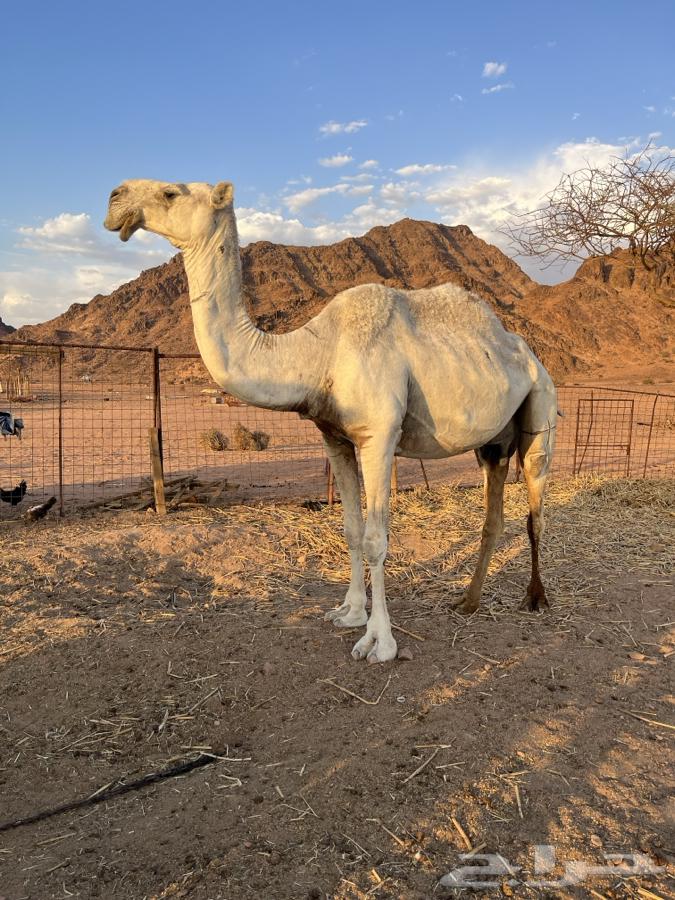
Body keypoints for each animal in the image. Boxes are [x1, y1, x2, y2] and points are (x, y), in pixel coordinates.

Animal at [104, 179, 558, 663]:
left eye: (171, 192)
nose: (115, 199)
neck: (316, 355)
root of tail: (527, 353)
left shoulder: (378, 436)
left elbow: (377, 539)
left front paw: (379, 641)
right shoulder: (335, 437)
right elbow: (352, 529)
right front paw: (350, 613)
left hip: (541, 406)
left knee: (535, 506)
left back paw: (536, 598)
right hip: (492, 440)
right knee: (494, 507)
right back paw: (468, 602)